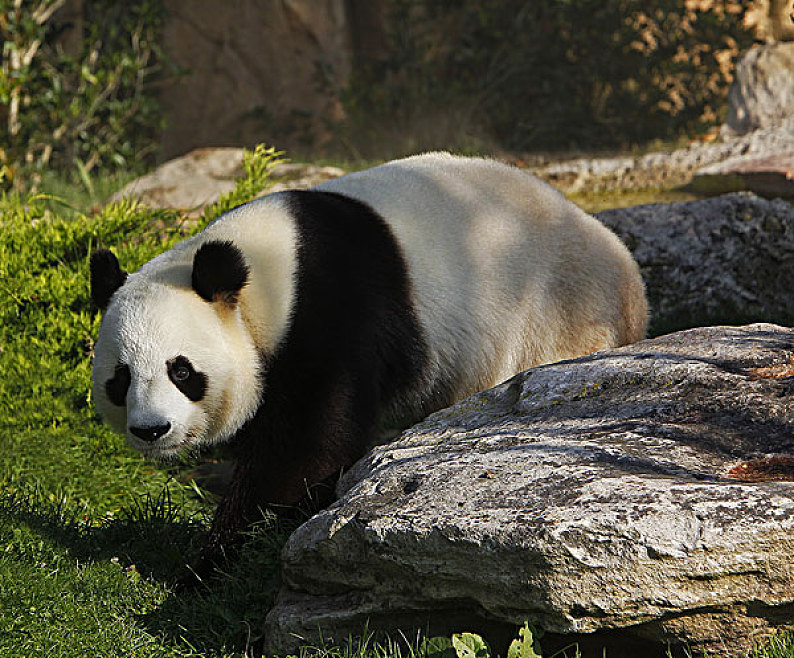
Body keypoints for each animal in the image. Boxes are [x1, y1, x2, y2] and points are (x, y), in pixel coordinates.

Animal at [89, 152, 648, 568]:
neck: (262, 280)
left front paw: (214, 559)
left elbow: (309, 446)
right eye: (121, 378)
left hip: (552, 317)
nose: (151, 430)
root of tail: (629, 275)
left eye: (181, 370)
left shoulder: (332, 311)